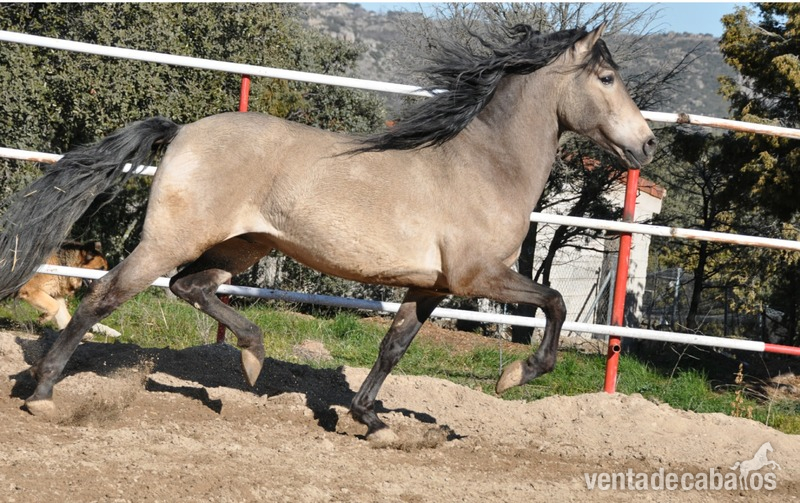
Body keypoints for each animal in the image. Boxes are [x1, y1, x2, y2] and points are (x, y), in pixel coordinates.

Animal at [0, 24, 655, 439]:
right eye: (605, 77)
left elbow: (393, 347)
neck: (485, 166)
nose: (647, 144)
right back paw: (42, 394)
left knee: (192, 288)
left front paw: (371, 420)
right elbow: (556, 301)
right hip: (171, 240)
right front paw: (518, 375)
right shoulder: (479, 277)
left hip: (242, 246)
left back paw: (252, 359)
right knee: (105, 295)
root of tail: (183, 130)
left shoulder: (432, 287)